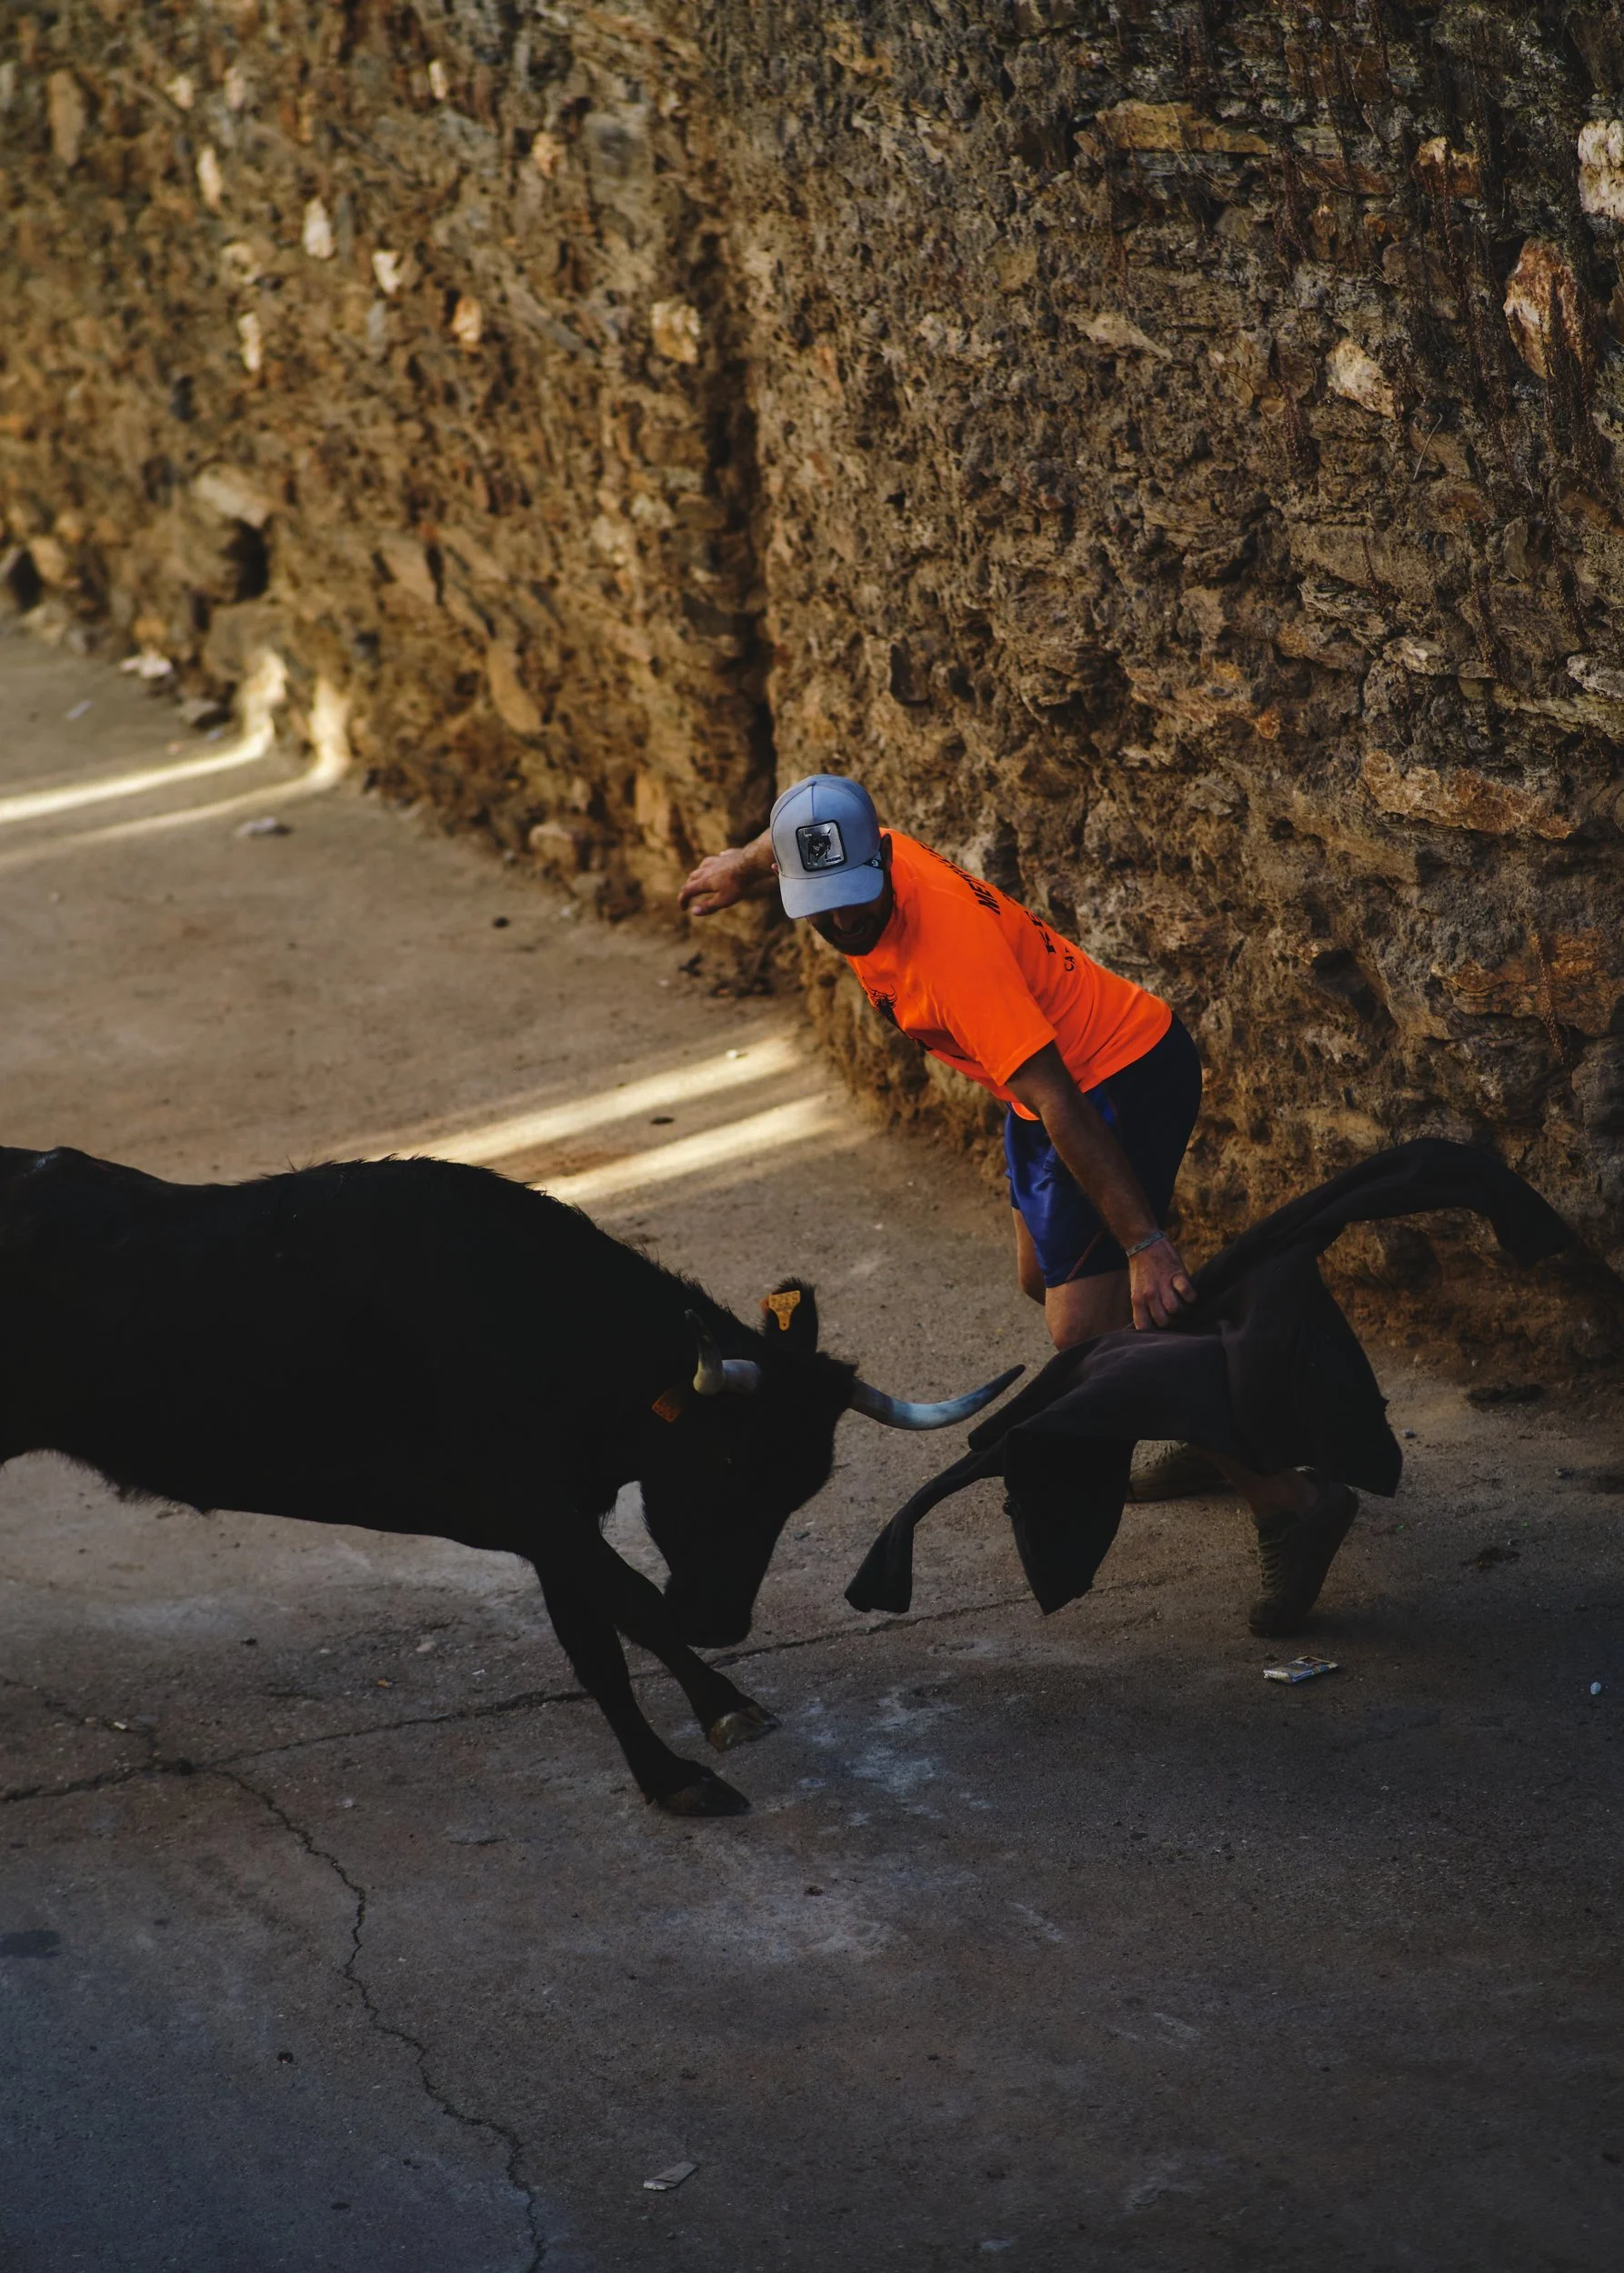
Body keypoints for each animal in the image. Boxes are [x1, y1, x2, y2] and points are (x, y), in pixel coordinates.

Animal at [0, 1145, 1018, 1815]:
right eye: (727, 1461)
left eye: (802, 1488)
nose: (723, 1622)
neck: (540, 1322)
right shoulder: (534, 1509)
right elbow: (630, 1608)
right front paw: (703, 1741)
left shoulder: (555, 1522)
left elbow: (596, 1637)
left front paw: (690, 1748)